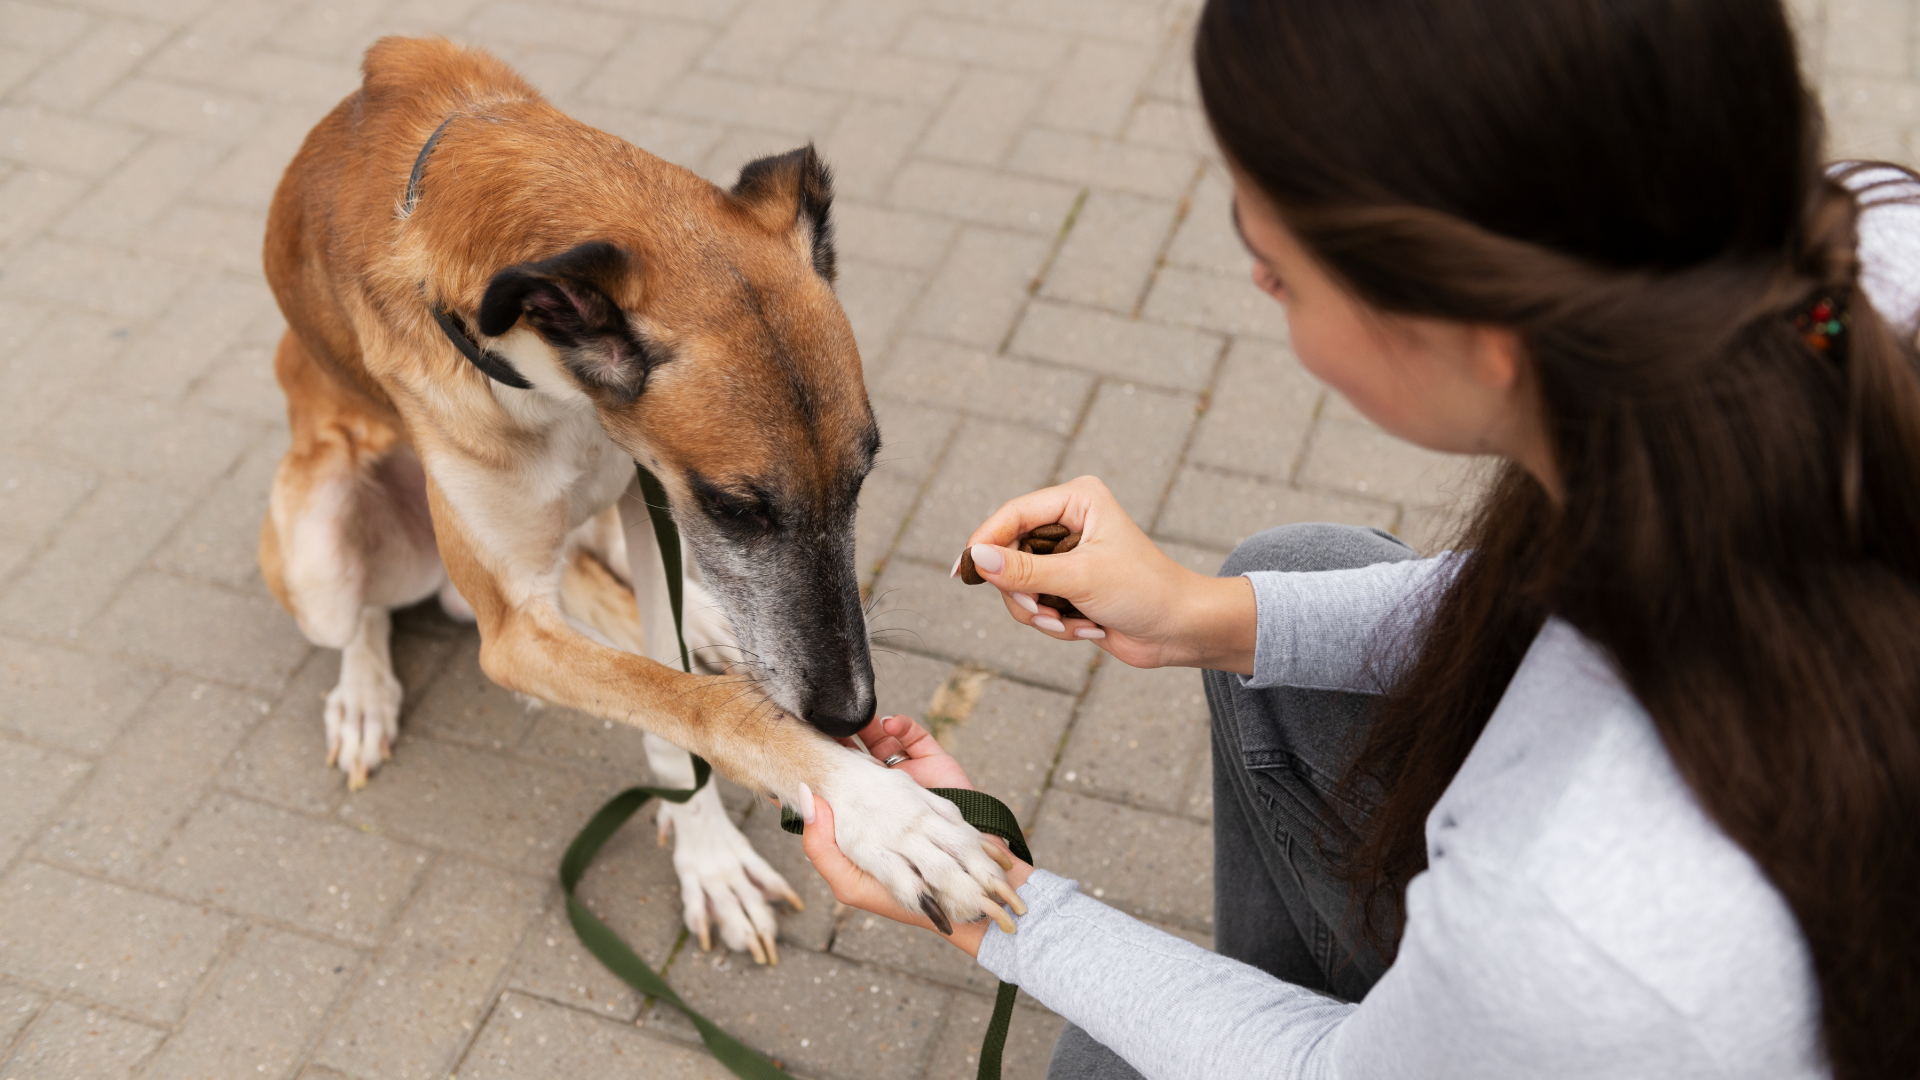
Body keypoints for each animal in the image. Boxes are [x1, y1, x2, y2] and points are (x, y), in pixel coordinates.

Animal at [264, 35, 1029, 957]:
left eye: (864, 477)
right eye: (738, 507)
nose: (850, 715)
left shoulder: (647, 494)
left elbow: (673, 696)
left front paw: (710, 854)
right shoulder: (516, 628)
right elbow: (699, 706)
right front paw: (880, 812)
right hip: (317, 547)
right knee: (366, 614)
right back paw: (365, 695)